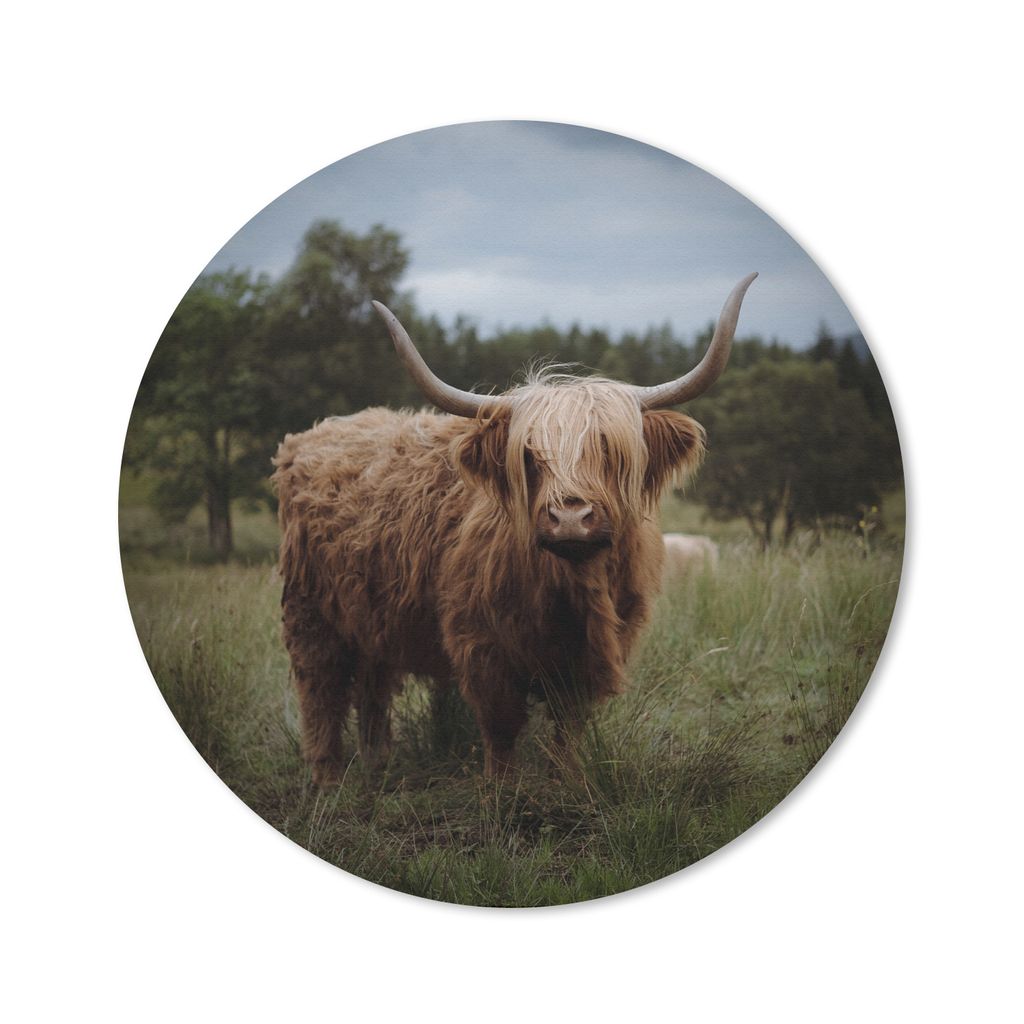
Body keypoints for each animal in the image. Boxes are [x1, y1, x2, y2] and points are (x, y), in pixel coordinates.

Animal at [272, 273, 756, 781]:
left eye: (609, 450)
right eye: (529, 455)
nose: (570, 518)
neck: (572, 591)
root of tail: (317, 433)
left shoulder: (594, 655)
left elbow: (569, 728)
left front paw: (569, 781)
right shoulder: (483, 647)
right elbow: (501, 727)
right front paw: (502, 791)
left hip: (371, 616)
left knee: (373, 686)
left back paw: (377, 767)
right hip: (310, 613)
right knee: (320, 692)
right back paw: (327, 779)